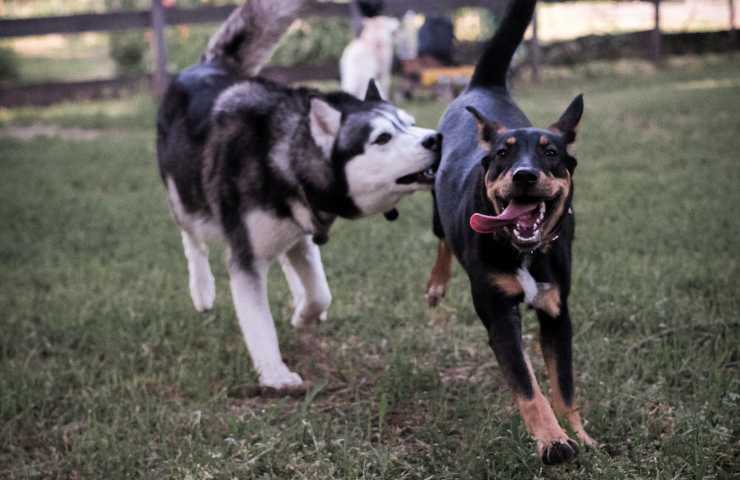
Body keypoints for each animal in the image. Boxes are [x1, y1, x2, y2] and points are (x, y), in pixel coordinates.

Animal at [156, 0, 440, 390]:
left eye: (409, 123)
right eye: (382, 138)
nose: (436, 138)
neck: (282, 154)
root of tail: (206, 65)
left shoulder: (301, 229)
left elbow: (321, 292)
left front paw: (304, 315)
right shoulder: (245, 257)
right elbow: (258, 322)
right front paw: (275, 374)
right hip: (185, 199)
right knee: (191, 238)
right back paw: (202, 290)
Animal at [424, 0, 592, 464]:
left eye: (550, 153)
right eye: (503, 154)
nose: (524, 175)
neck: (524, 252)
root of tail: (484, 87)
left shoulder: (557, 312)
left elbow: (564, 386)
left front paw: (581, 435)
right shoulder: (498, 312)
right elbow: (528, 386)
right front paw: (553, 440)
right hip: (436, 204)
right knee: (442, 239)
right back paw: (436, 285)